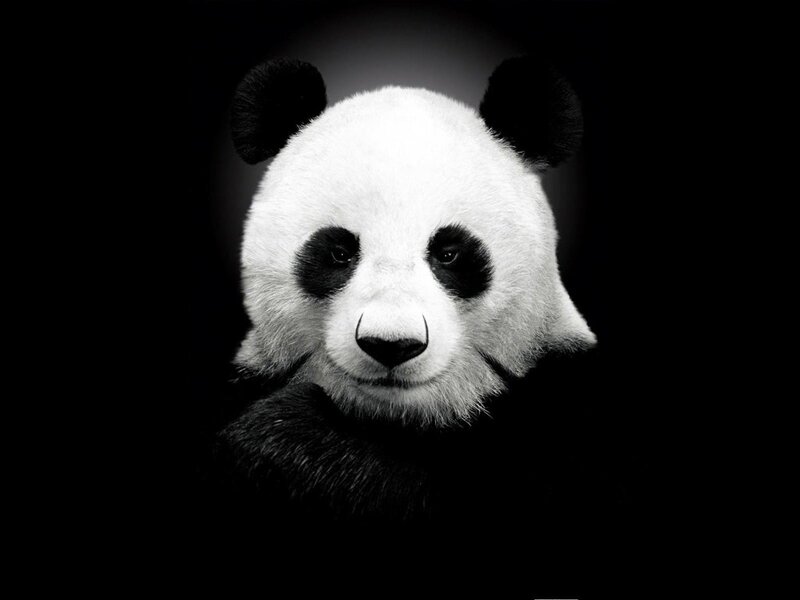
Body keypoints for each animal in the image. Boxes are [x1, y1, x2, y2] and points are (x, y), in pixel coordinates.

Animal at [211, 57, 621, 531]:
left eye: (449, 253)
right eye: (339, 252)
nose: (391, 345)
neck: (401, 419)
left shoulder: (569, 409)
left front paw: (285, 438)